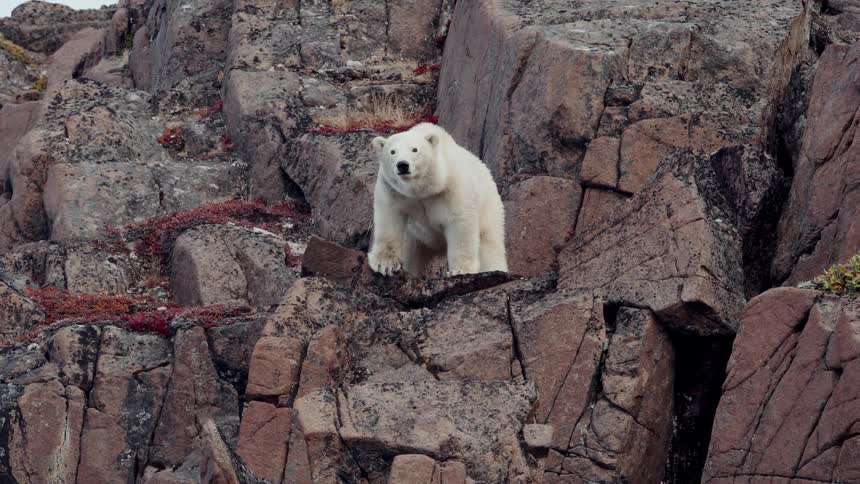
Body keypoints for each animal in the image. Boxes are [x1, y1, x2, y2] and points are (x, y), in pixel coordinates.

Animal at [367, 122, 508, 276]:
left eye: (414, 149)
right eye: (392, 151)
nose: (402, 165)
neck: (422, 189)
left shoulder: (452, 187)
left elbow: (460, 223)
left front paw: (459, 270)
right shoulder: (392, 190)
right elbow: (389, 220)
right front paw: (385, 265)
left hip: (489, 206)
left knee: (490, 241)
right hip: (415, 235)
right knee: (411, 251)